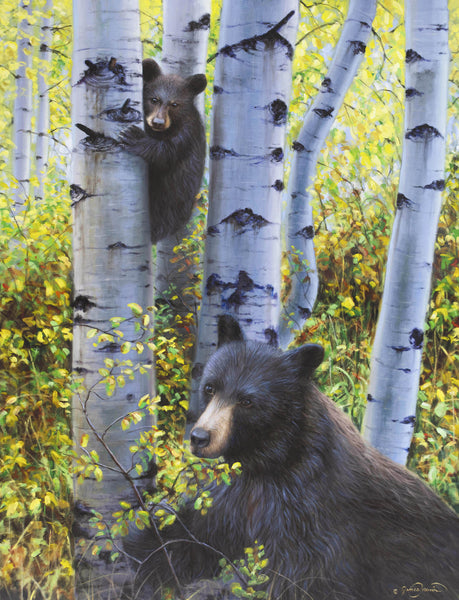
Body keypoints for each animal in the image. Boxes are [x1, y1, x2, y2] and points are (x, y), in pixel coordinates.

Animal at [118, 58, 207, 241]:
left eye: (174, 104)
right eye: (154, 99)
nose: (157, 122)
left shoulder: (188, 132)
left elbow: (165, 153)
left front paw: (133, 136)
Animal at [125, 316, 459, 596]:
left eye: (247, 401)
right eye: (210, 387)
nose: (200, 438)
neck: (269, 460)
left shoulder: (308, 513)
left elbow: (293, 575)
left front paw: (209, 588)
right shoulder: (231, 499)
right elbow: (184, 538)